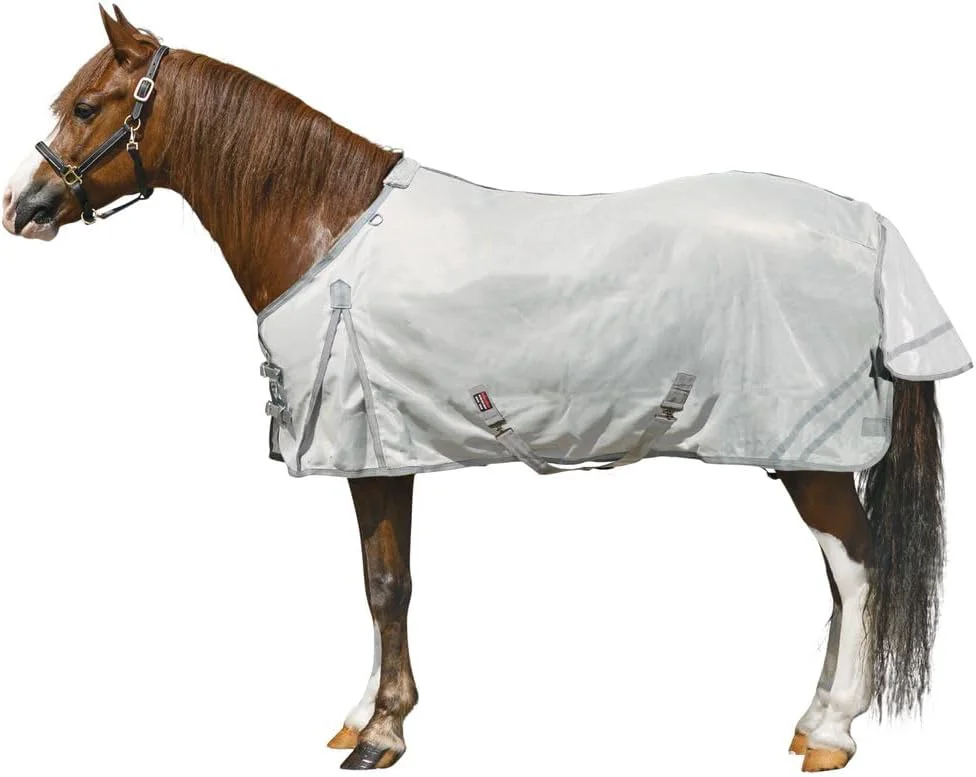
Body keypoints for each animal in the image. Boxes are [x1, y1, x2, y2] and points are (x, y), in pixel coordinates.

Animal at [3, 6, 969, 772]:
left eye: (86, 106)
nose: (24, 207)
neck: (327, 225)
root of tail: (870, 228)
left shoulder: (374, 451)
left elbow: (386, 584)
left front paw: (382, 733)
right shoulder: (383, 452)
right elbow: (378, 579)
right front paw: (363, 712)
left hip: (810, 453)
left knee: (858, 567)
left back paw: (832, 733)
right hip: (801, 454)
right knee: (840, 575)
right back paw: (812, 718)